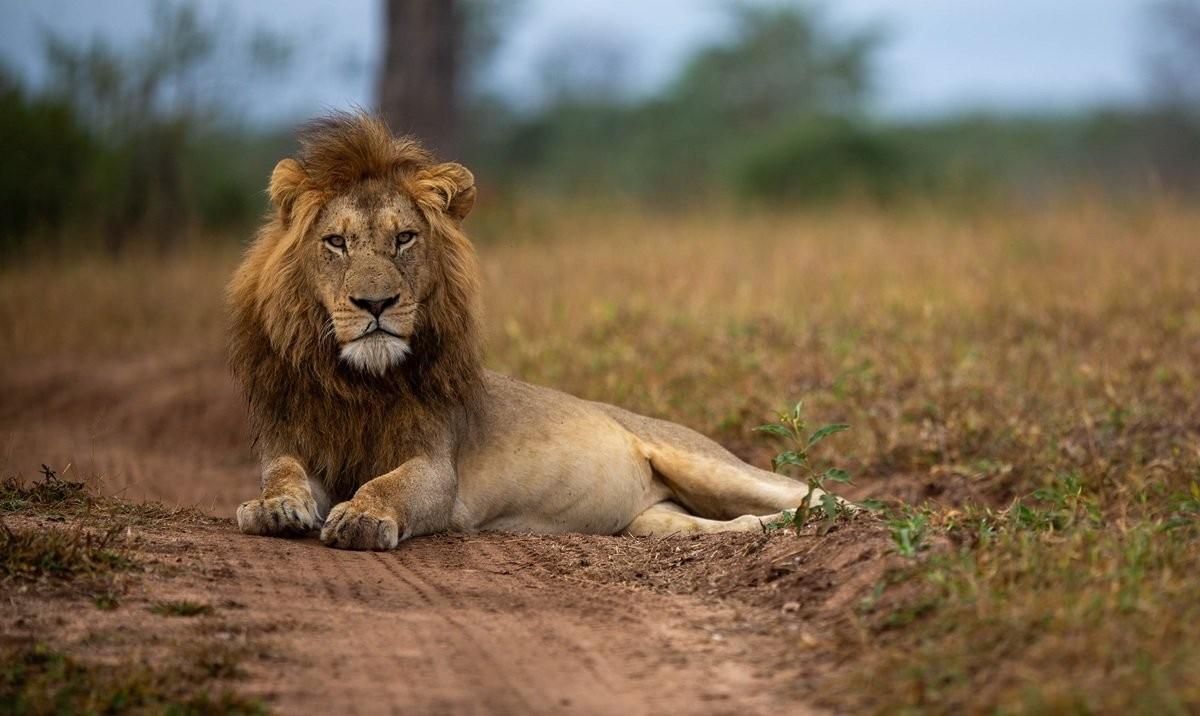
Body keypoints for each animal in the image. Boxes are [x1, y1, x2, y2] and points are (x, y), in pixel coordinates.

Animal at [230, 112, 841, 550]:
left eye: (404, 238)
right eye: (336, 243)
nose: (375, 303)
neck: (358, 383)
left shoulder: (438, 467)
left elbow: (391, 484)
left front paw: (360, 514)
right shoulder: (292, 438)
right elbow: (280, 473)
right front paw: (273, 508)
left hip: (704, 462)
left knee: (813, 487)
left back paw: (838, 517)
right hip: (656, 519)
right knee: (725, 522)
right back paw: (776, 527)